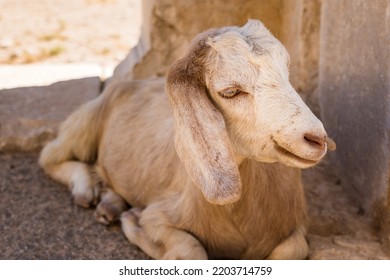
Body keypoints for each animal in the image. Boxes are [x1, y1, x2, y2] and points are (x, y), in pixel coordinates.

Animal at [38, 20, 336, 260]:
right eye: (230, 91)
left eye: (286, 72)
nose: (316, 139)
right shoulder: (161, 215)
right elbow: (190, 250)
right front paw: (134, 223)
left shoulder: (297, 228)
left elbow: (294, 248)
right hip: (85, 122)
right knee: (50, 157)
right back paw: (87, 190)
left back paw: (109, 204)